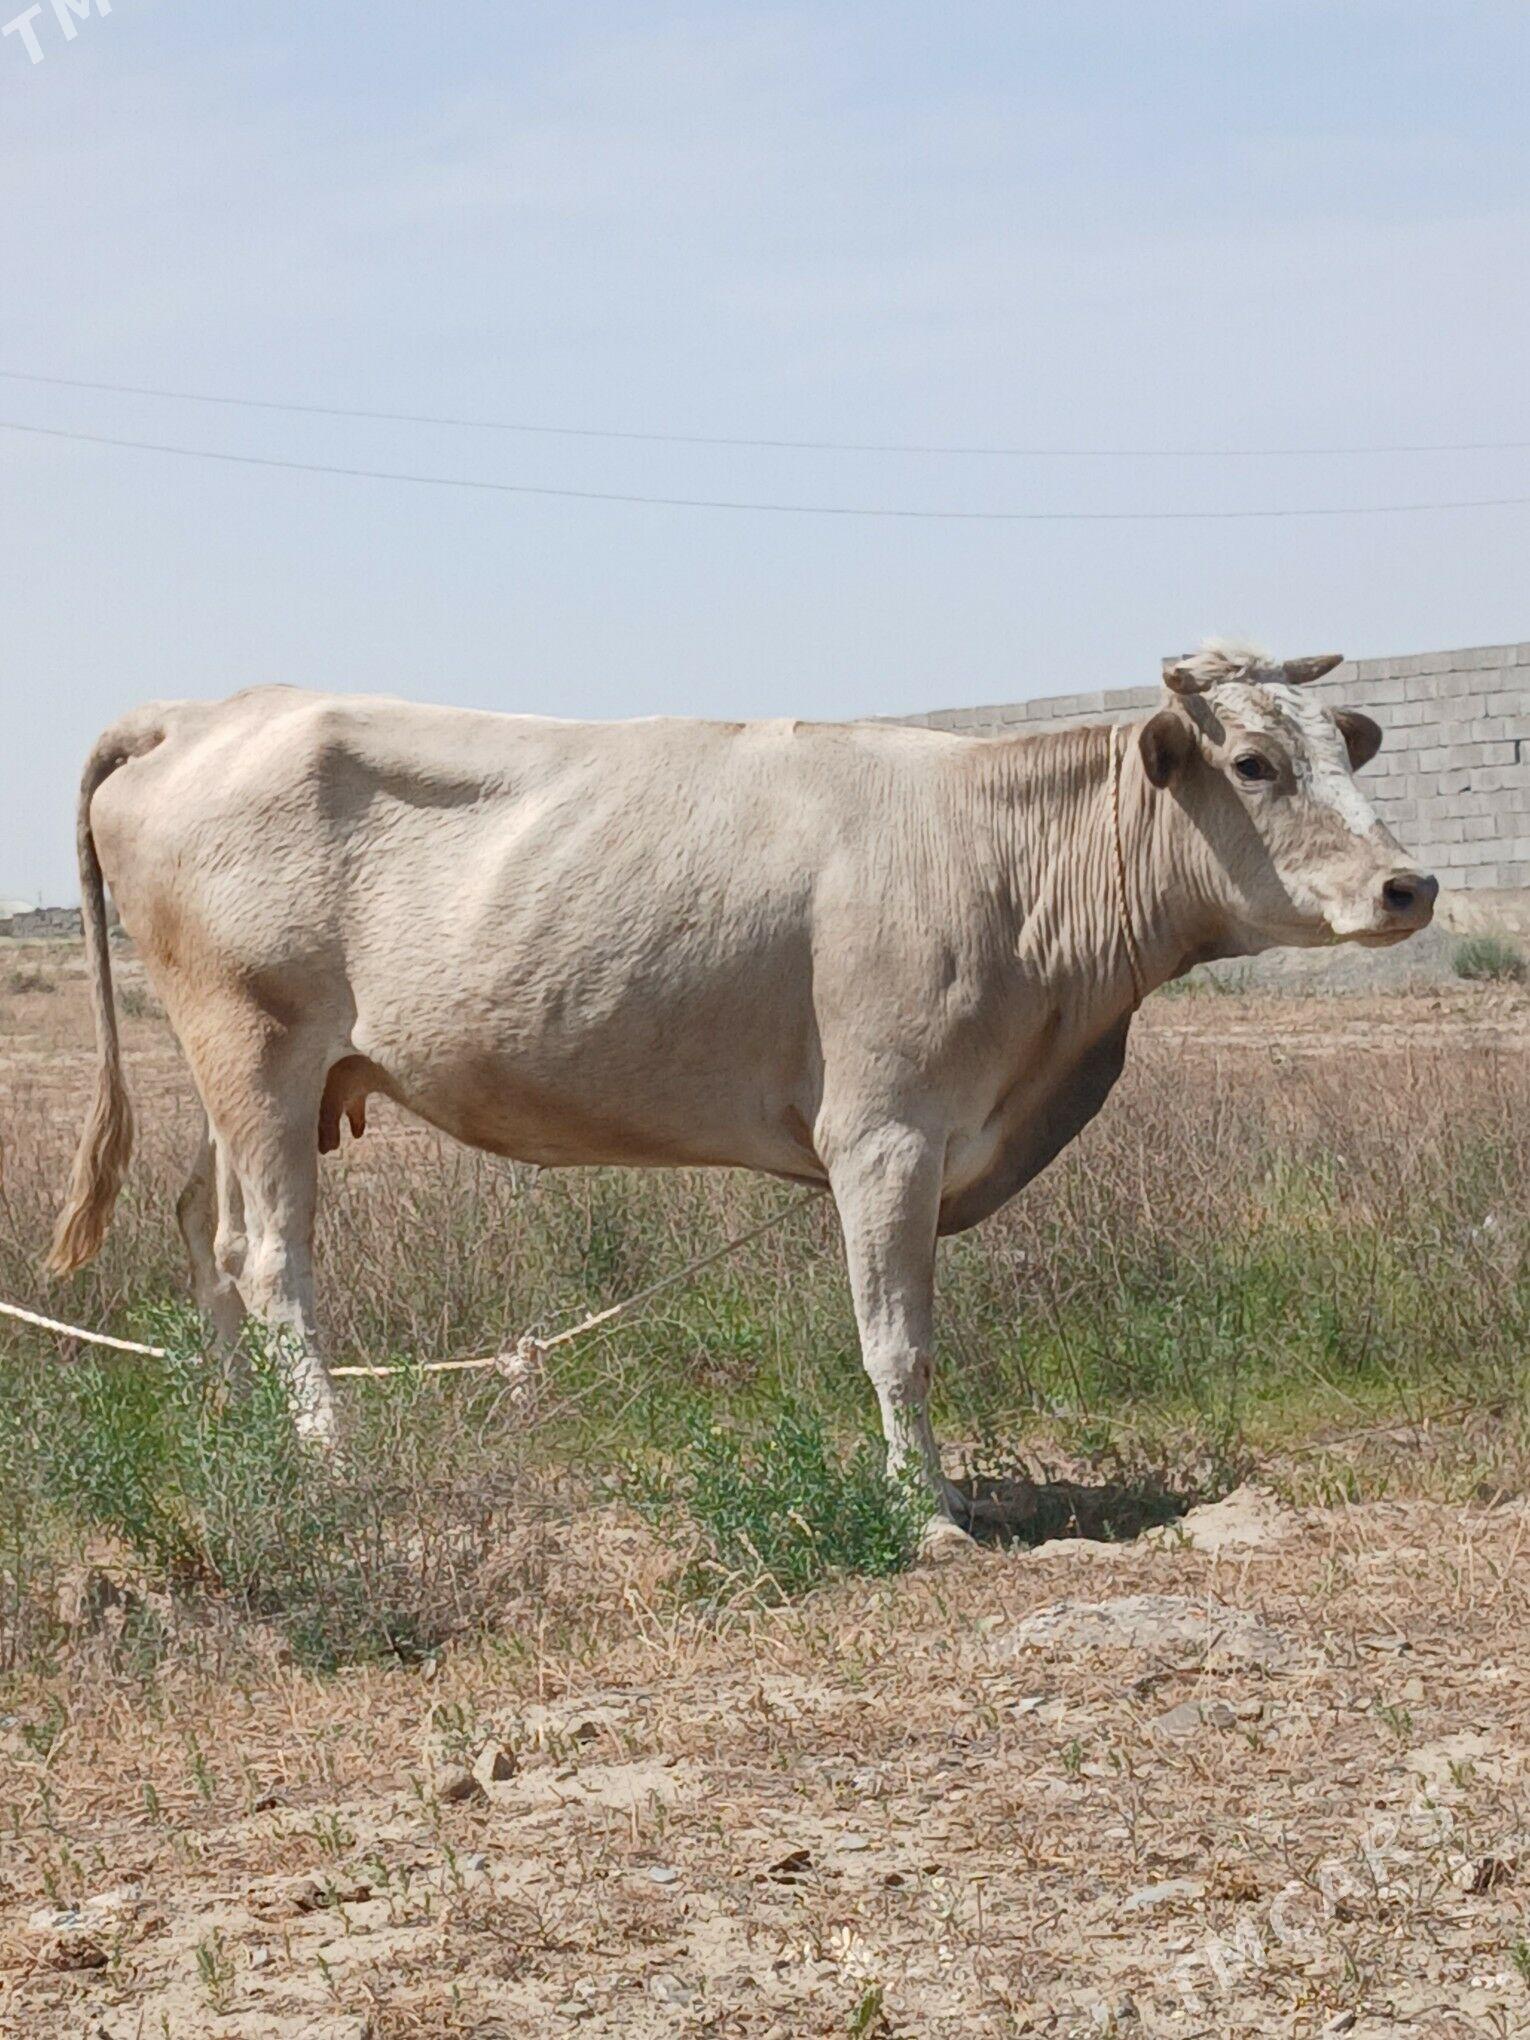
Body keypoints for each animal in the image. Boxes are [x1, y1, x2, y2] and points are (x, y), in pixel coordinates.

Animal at [48, 639, 1435, 1518]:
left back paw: (243, 1444)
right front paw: (924, 1507)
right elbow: (898, 1339)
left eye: (1347, 752)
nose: (1407, 885)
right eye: (1253, 764)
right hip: (254, 1044)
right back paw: (332, 1464)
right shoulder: (886, 1132)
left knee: (209, 1232)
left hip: (248, 1068)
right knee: (274, 1259)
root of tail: (206, 710)